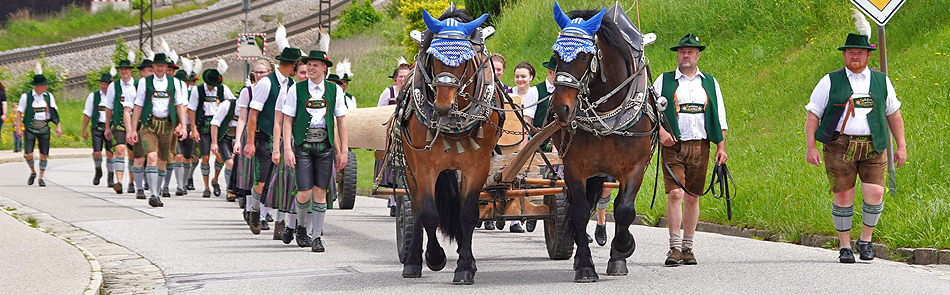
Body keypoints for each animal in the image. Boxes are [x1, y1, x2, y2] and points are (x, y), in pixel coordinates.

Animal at [392, 6, 502, 286]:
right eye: (433, 57)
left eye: (465, 59)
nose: (442, 106)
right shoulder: (424, 166)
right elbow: (429, 213)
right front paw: (435, 257)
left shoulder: (478, 166)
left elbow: (468, 213)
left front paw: (464, 267)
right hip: (410, 166)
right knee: (416, 207)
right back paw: (412, 261)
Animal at [548, 2, 660, 284]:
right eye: (556, 54)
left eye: (584, 56)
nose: (561, 108)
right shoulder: (574, 166)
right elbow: (578, 211)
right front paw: (585, 266)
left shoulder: (635, 166)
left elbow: (624, 210)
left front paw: (622, 251)